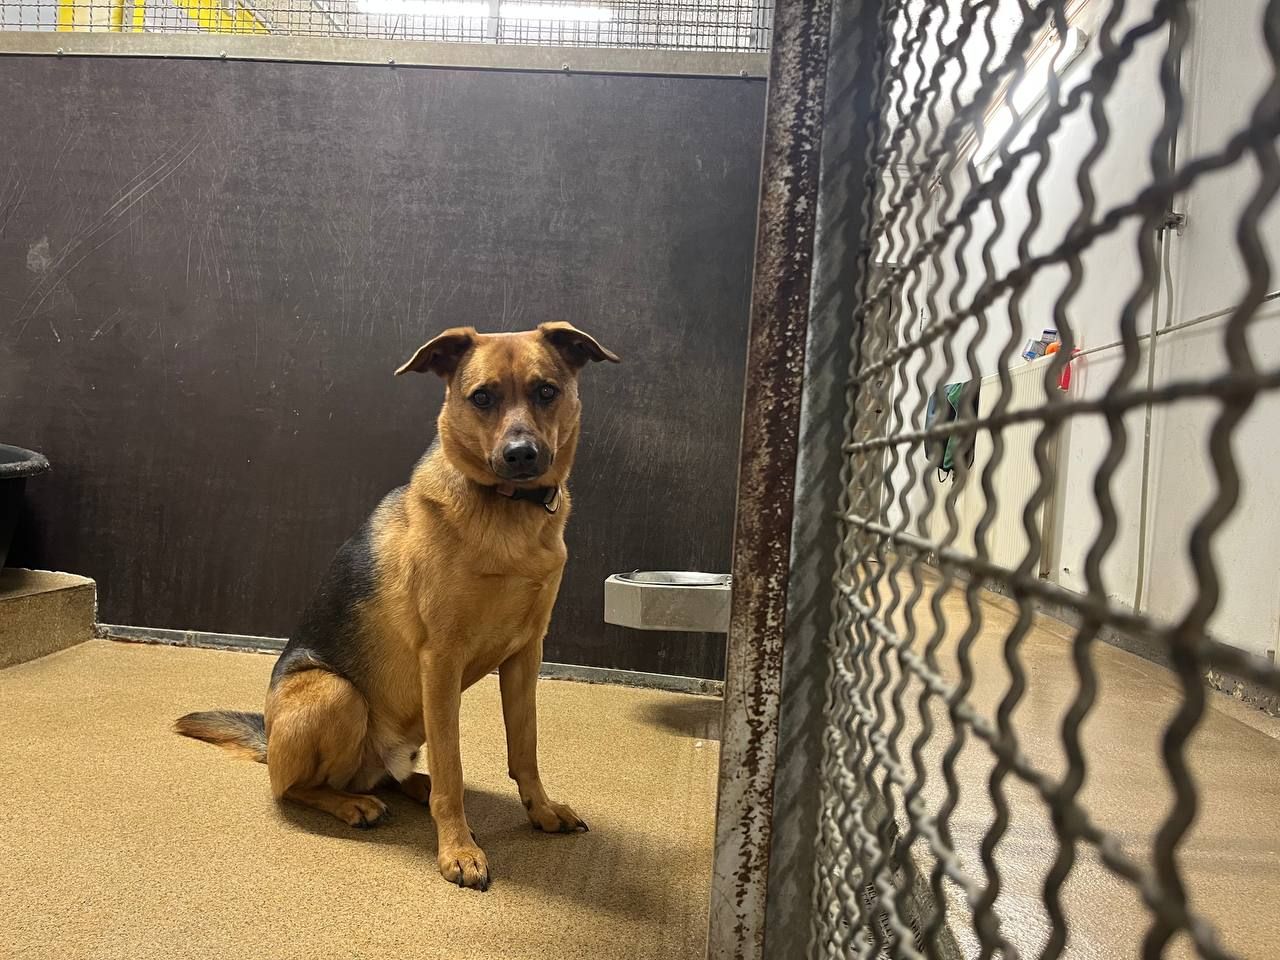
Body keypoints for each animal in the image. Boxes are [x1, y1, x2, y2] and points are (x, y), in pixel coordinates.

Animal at [176, 321, 619, 890]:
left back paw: (411, 786)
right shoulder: (442, 659)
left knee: (393, 776)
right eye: (482, 397)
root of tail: (269, 741)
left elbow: (525, 748)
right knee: (294, 787)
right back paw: (352, 804)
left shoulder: (526, 657)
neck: (507, 512)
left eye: (547, 391)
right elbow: (453, 763)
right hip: (337, 694)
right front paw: (459, 850)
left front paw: (539, 811)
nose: (521, 454)